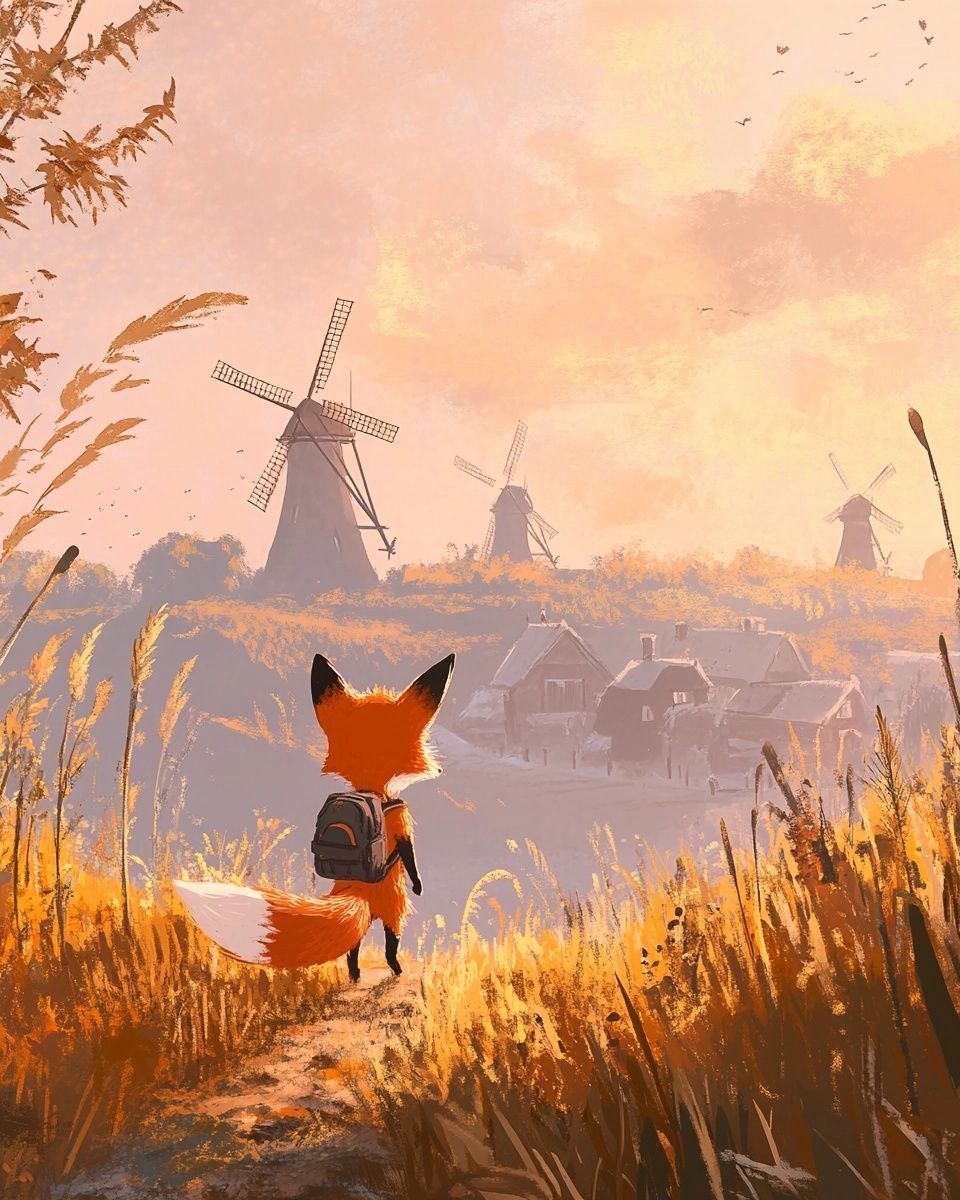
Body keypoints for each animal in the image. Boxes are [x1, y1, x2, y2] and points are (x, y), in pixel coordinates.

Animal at [174, 651, 455, 978]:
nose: (440, 769)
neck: (373, 790)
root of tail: (357, 890)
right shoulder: (402, 820)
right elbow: (409, 853)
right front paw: (419, 885)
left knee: (352, 949)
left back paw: (355, 975)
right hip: (394, 909)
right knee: (389, 943)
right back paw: (394, 970)